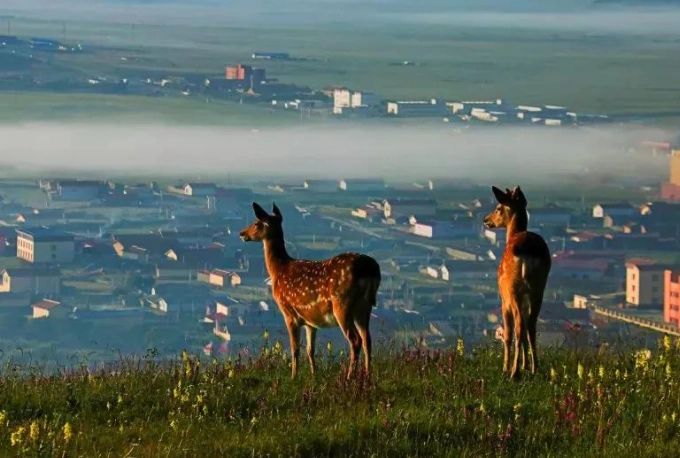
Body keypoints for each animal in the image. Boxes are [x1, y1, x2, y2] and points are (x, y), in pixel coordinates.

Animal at [239, 203, 380, 380]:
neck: (279, 270)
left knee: (355, 340)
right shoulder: (309, 321)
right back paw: (367, 376)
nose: (242, 233)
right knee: (367, 339)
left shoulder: (289, 312)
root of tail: (371, 269)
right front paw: (314, 375)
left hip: (342, 304)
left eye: (256, 223)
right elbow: (309, 349)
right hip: (364, 307)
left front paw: (293, 377)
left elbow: (295, 348)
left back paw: (349, 377)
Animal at [484, 185, 552, 380]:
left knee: (519, 326)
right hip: (538, 287)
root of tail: (527, 251)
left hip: (513, 288)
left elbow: (507, 333)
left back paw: (514, 373)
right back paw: (534, 368)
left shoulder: (504, 299)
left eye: (498, 208)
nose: (486, 220)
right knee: (531, 325)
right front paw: (525, 365)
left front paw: (506, 368)